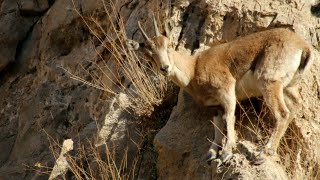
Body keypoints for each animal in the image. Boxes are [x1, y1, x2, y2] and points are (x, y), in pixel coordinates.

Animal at [126, 17, 314, 165]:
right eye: (148, 53)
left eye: (169, 46)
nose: (165, 68)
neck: (193, 69)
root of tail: (303, 47)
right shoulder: (215, 105)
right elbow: (217, 125)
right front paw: (211, 153)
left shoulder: (226, 90)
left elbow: (229, 118)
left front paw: (227, 153)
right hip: (288, 87)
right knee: (294, 108)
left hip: (269, 82)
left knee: (282, 113)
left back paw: (263, 153)